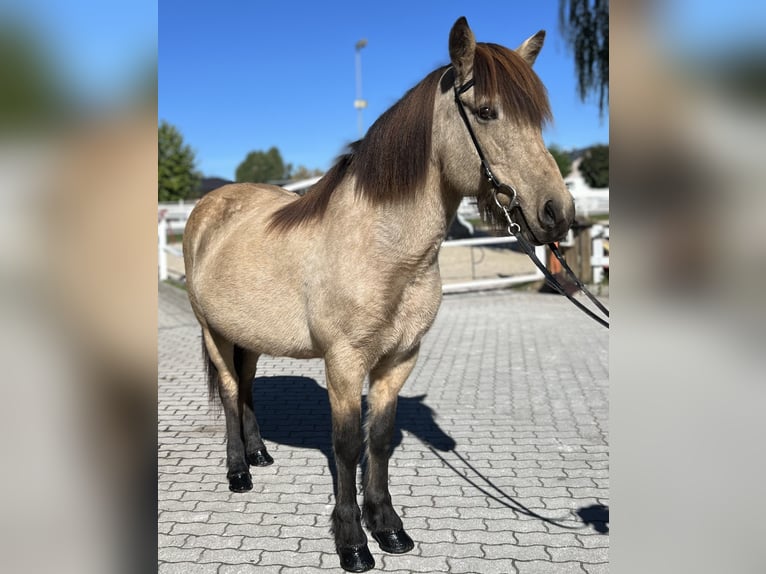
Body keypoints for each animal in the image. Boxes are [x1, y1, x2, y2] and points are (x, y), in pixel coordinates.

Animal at [183, 15, 572, 572]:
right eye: (486, 112)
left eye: (537, 119)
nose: (557, 213)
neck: (382, 246)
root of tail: (208, 206)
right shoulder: (345, 362)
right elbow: (347, 446)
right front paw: (352, 542)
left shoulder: (399, 358)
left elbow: (381, 441)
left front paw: (388, 527)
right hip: (213, 332)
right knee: (233, 392)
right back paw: (239, 471)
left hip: (250, 336)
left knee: (249, 387)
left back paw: (259, 453)